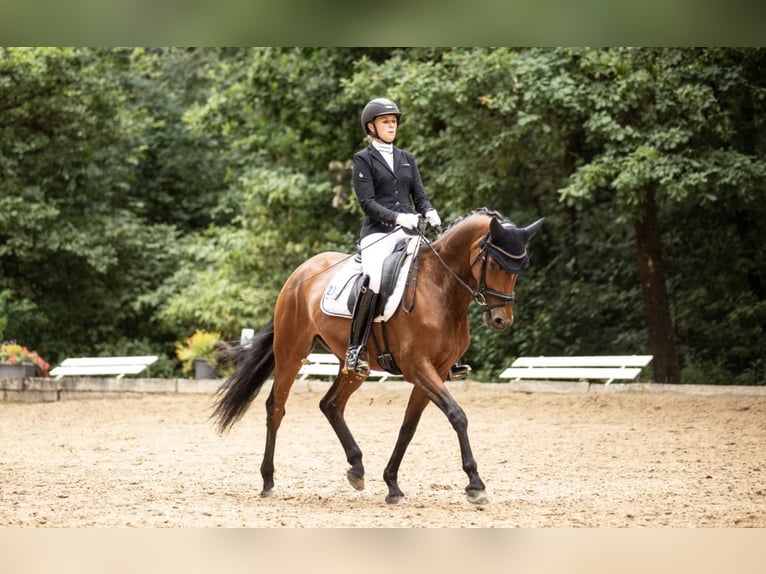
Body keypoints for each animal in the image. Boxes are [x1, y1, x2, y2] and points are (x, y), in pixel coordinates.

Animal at [211, 207, 544, 505]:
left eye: (520, 268)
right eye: (496, 265)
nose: (501, 320)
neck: (440, 288)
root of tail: (299, 274)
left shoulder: (436, 370)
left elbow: (408, 427)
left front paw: (392, 484)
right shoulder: (418, 368)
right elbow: (457, 415)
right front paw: (475, 484)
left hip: (354, 366)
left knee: (331, 404)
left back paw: (356, 468)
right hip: (291, 353)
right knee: (276, 408)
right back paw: (268, 480)